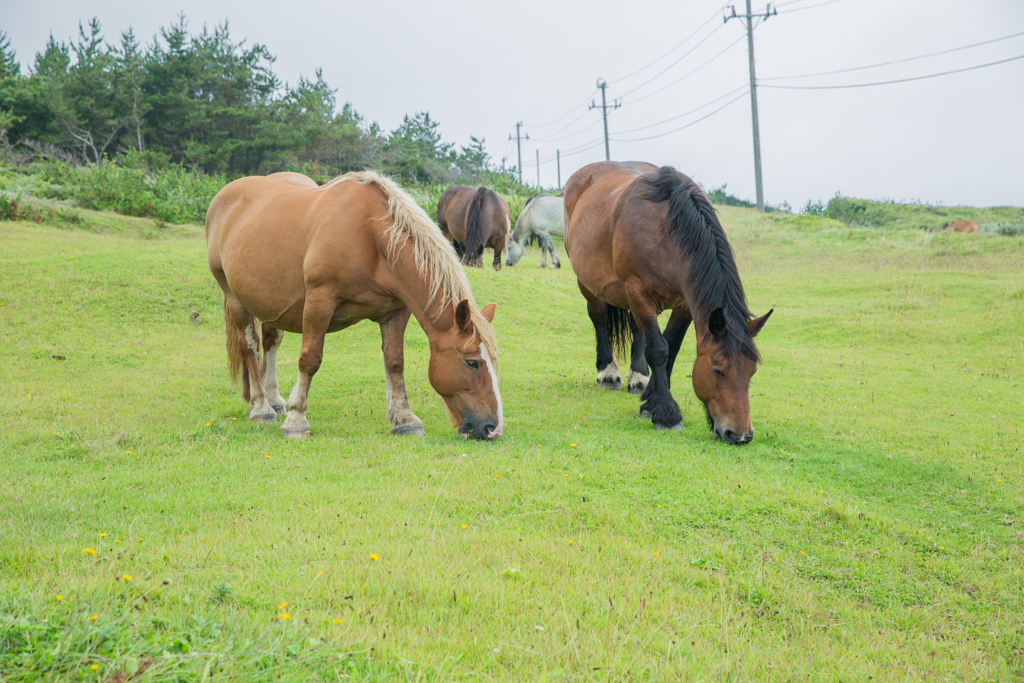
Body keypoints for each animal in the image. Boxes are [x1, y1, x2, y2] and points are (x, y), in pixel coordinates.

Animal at [205, 167, 501, 440]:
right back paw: (261, 407)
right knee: (250, 347)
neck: (370, 236)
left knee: (270, 341)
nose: (492, 428)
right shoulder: (319, 301)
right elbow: (309, 359)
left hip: (270, 301)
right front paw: (296, 419)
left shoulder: (396, 311)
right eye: (472, 362)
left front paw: (404, 419)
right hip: (233, 296)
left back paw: (275, 400)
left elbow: (395, 362)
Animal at [565, 162, 770, 446]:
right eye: (717, 370)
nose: (740, 435)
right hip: (588, 283)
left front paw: (650, 402)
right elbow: (658, 350)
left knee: (638, 330)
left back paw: (638, 377)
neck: (665, 230)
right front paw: (666, 413)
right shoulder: (638, 292)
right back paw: (607, 372)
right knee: (598, 318)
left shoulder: (684, 305)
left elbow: (670, 347)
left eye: (751, 372)